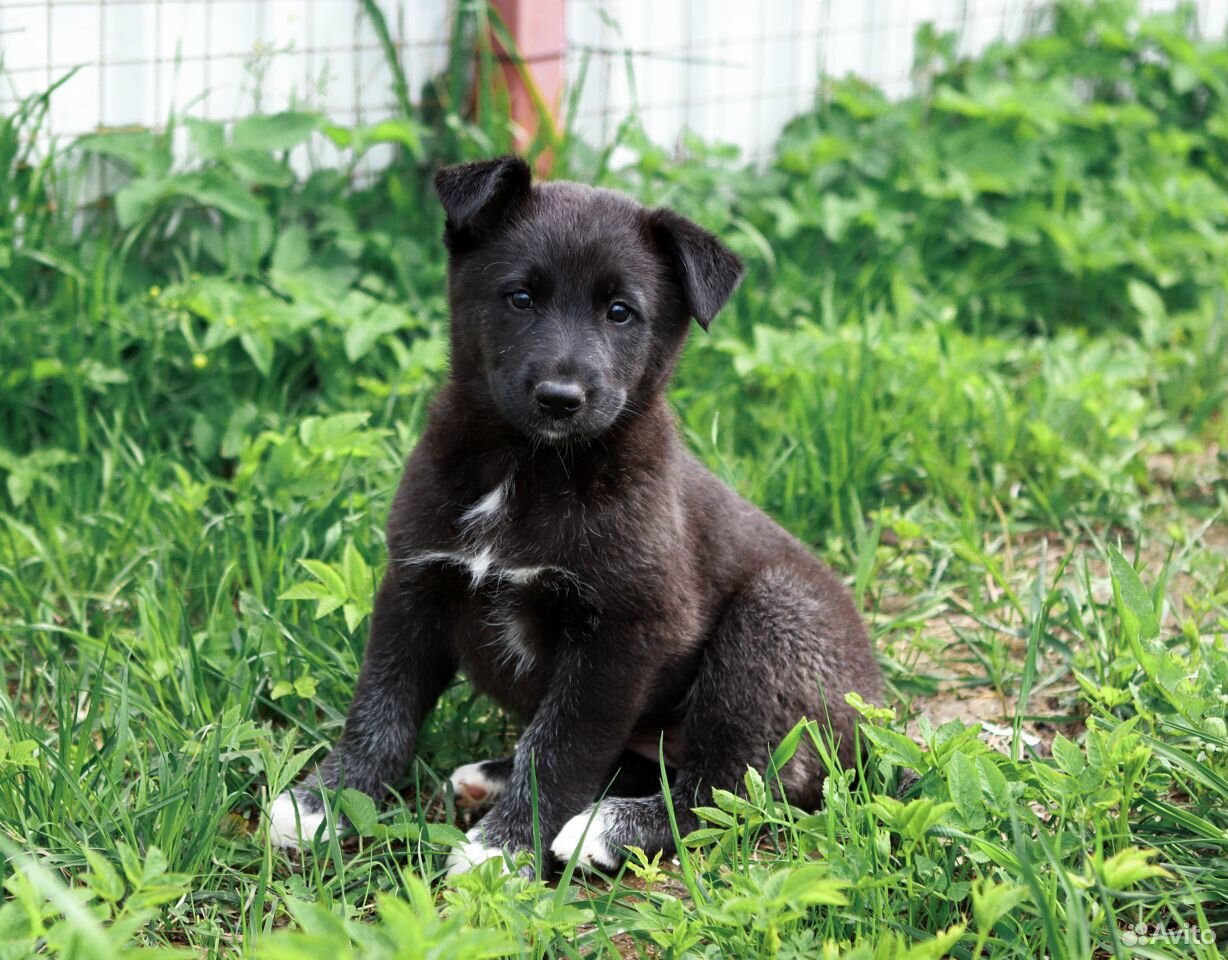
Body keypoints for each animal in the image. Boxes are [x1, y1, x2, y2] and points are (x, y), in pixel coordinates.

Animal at [268, 154, 884, 874]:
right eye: (520, 297)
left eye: (620, 312)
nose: (560, 397)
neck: (529, 470)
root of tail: (875, 729)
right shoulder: (415, 584)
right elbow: (381, 706)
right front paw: (327, 802)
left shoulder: (623, 634)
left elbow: (562, 745)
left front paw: (504, 849)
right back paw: (494, 777)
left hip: (773, 622)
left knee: (733, 787)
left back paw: (605, 828)